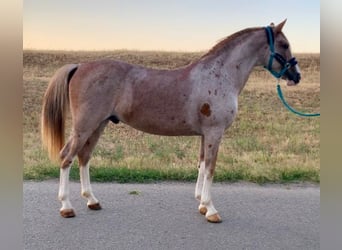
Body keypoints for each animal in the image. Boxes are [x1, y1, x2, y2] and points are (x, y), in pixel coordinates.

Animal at [41, 19, 300, 223]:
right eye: (284, 45)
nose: (296, 76)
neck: (219, 75)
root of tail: (80, 66)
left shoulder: (205, 134)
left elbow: (202, 164)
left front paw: (202, 204)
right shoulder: (214, 132)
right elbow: (211, 168)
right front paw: (211, 210)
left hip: (98, 125)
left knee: (84, 157)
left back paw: (92, 201)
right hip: (84, 126)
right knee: (67, 157)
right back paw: (66, 207)